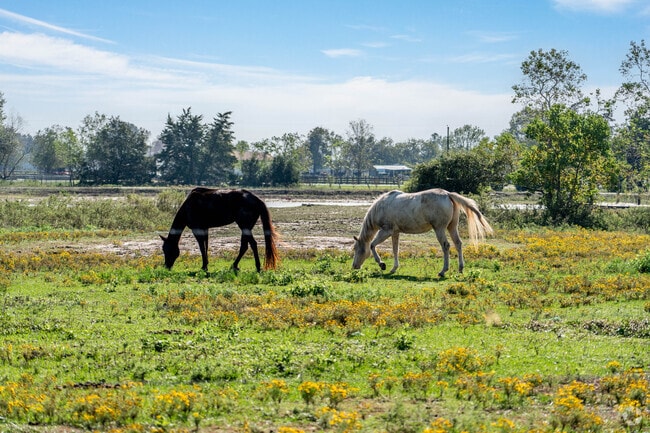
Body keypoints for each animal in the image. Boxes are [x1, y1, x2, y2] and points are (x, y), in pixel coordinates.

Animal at [352, 188, 493, 277]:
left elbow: (372, 245)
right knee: (458, 244)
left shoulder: (386, 230)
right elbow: (395, 250)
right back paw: (460, 269)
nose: (354, 266)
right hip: (452, 227)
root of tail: (448, 194)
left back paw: (443, 271)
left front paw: (382, 264)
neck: (382, 206)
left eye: (357, 250)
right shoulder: (395, 232)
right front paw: (394, 268)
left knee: (446, 246)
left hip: (439, 229)